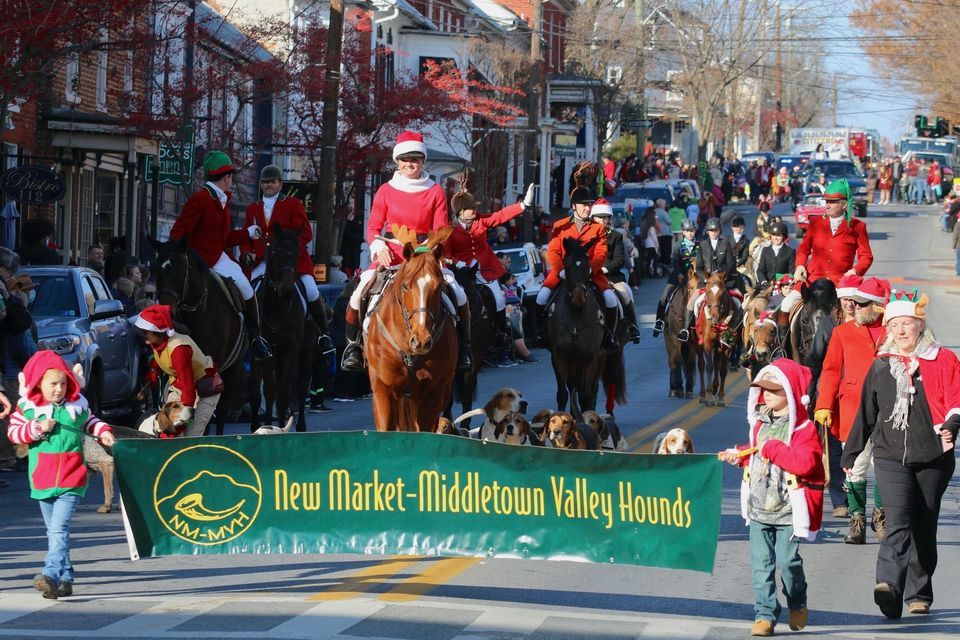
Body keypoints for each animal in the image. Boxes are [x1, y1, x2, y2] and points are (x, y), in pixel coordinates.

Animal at [251, 228, 316, 432]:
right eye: (275, 252)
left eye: (297, 253)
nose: (286, 290)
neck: (276, 309)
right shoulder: (262, 354)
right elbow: (264, 392)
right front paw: (261, 425)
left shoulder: (290, 351)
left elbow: (282, 394)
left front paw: (278, 428)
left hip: (306, 352)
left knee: (301, 387)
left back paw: (300, 425)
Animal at [544, 238, 604, 418]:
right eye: (567, 265)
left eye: (586, 265)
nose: (578, 298)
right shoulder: (558, 356)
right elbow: (562, 393)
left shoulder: (590, 357)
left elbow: (585, 395)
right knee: (572, 386)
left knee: (590, 389)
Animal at [692, 272, 748, 408]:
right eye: (707, 292)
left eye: (722, 293)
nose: (714, 317)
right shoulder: (707, 342)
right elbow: (709, 367)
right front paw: (709, 397)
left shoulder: (727, 344)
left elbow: (722, 369)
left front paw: (721, 397)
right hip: (698, 343)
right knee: (702, 365)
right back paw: (703, 395)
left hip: (719, 345)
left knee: (717, 363)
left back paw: (715, 388)